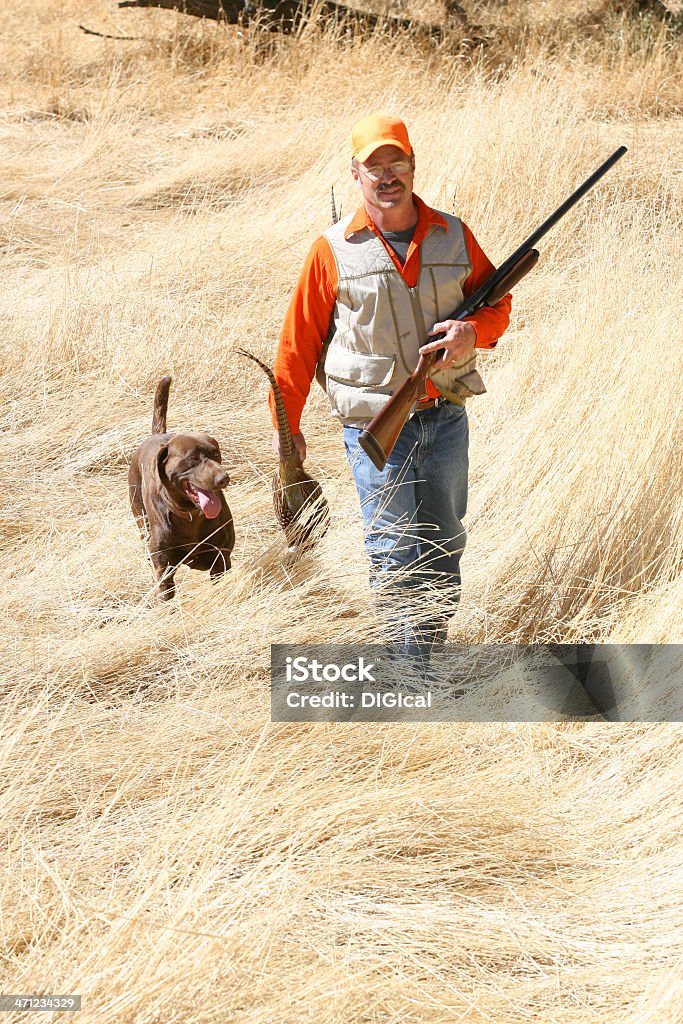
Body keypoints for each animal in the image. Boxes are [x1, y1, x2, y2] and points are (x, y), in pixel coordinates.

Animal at [127, 376, 235, 598]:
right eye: (193, 458)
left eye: (216, 454)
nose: (224, 478)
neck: (190, 516)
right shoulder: (163, 571)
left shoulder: (221, 560)